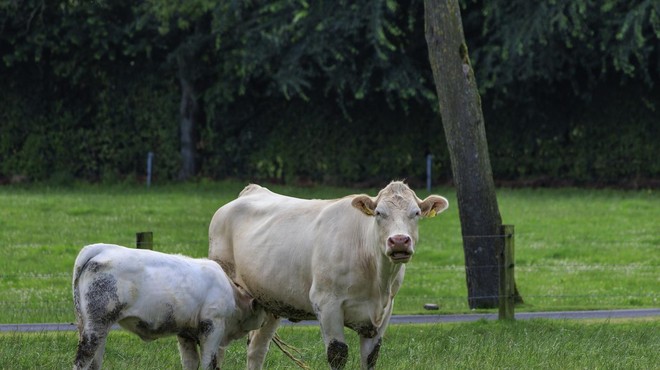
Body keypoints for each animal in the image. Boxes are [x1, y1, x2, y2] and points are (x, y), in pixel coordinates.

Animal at [73, 243, 268, 370]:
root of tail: (102, 248)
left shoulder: (185, 332)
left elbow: (191, 362)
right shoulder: (213, 326)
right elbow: (209, 363)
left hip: (91, 324)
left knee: (94, 361)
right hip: (97, 323)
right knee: (83, 358)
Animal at [210, 182, 448, 370]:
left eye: (416, 213)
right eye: (379, 213)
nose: (399, 241)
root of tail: (252, 190)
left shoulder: (385, 311)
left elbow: (371, 357)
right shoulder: (326, 303)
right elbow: (338, 353)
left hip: (269, 300)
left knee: (257, 348)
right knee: (219, 346)